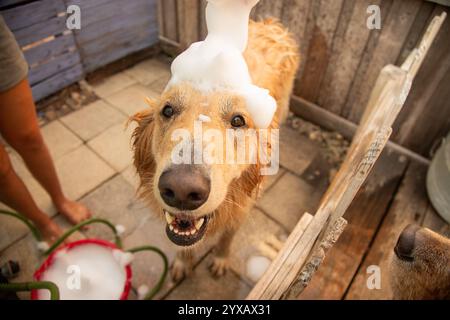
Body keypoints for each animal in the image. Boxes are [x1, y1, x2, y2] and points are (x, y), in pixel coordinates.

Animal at [130, 19, 298, 280]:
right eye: (167, 110)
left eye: (238, 120)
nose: (181, 190)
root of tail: (271, 23)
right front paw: (183, 262)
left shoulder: (241, 210)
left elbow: (227, 237)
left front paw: (220, 259)